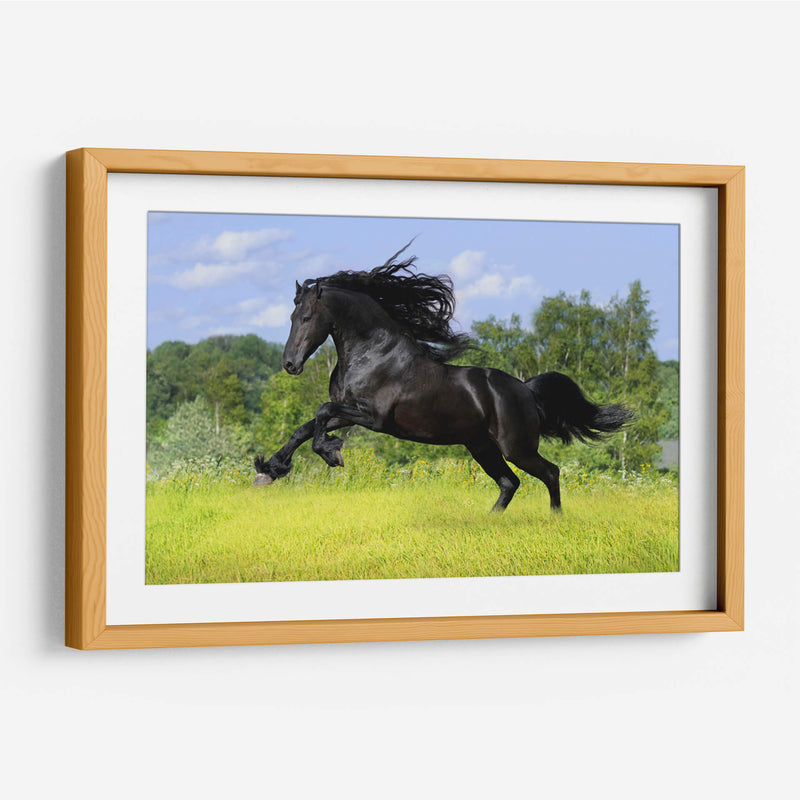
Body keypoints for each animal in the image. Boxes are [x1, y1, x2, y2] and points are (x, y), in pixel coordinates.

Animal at [253, 246, 633, 513]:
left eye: (306, 317)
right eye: (291, 316)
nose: (289, 364)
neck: (373, 354)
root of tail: (526, 390)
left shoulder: (372, 417)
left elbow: (319, 412)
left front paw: (332, 455)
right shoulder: (349, 412)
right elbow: (305, 427)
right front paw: (268, 470)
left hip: (517, 447)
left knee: (549, 472)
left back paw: (555, 519)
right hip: (481, 446)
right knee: (509, 483)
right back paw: (488, 521)